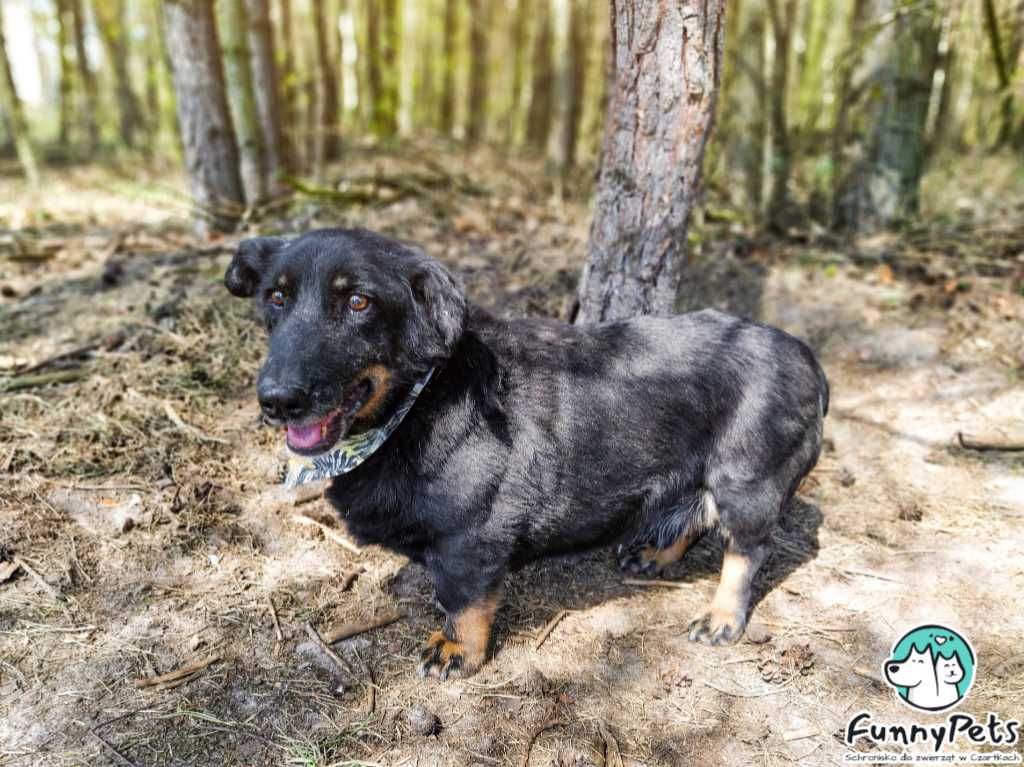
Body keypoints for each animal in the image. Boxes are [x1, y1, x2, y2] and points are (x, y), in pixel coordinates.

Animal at [222, 226, 823, 675]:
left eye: (358, 302)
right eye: (276, 297)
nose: (276, 400)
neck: (415, 404)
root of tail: (808, 358)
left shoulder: (472, 537)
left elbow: (464, 600)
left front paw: (456, 650)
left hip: (746, 480)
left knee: (745, 550)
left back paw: (721, 615)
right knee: (692, 513)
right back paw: (656, 553)